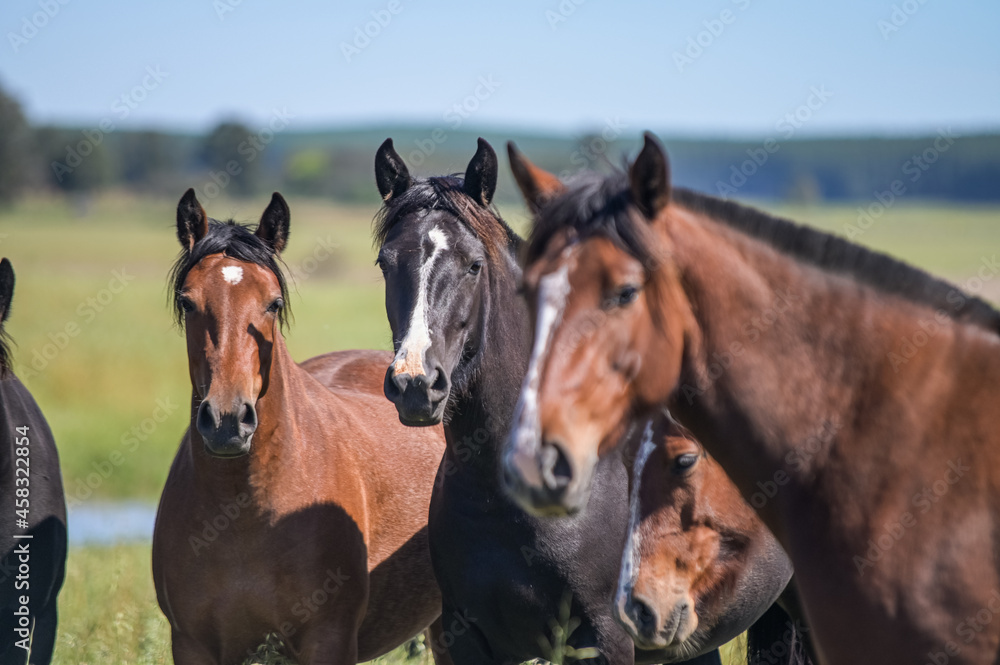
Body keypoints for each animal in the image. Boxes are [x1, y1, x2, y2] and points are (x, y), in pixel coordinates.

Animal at [153, 188, 450, 664]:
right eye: (187, 302)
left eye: (273, 303)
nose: (227, 421)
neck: (244, 513)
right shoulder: (192, 644)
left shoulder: (327, 639)